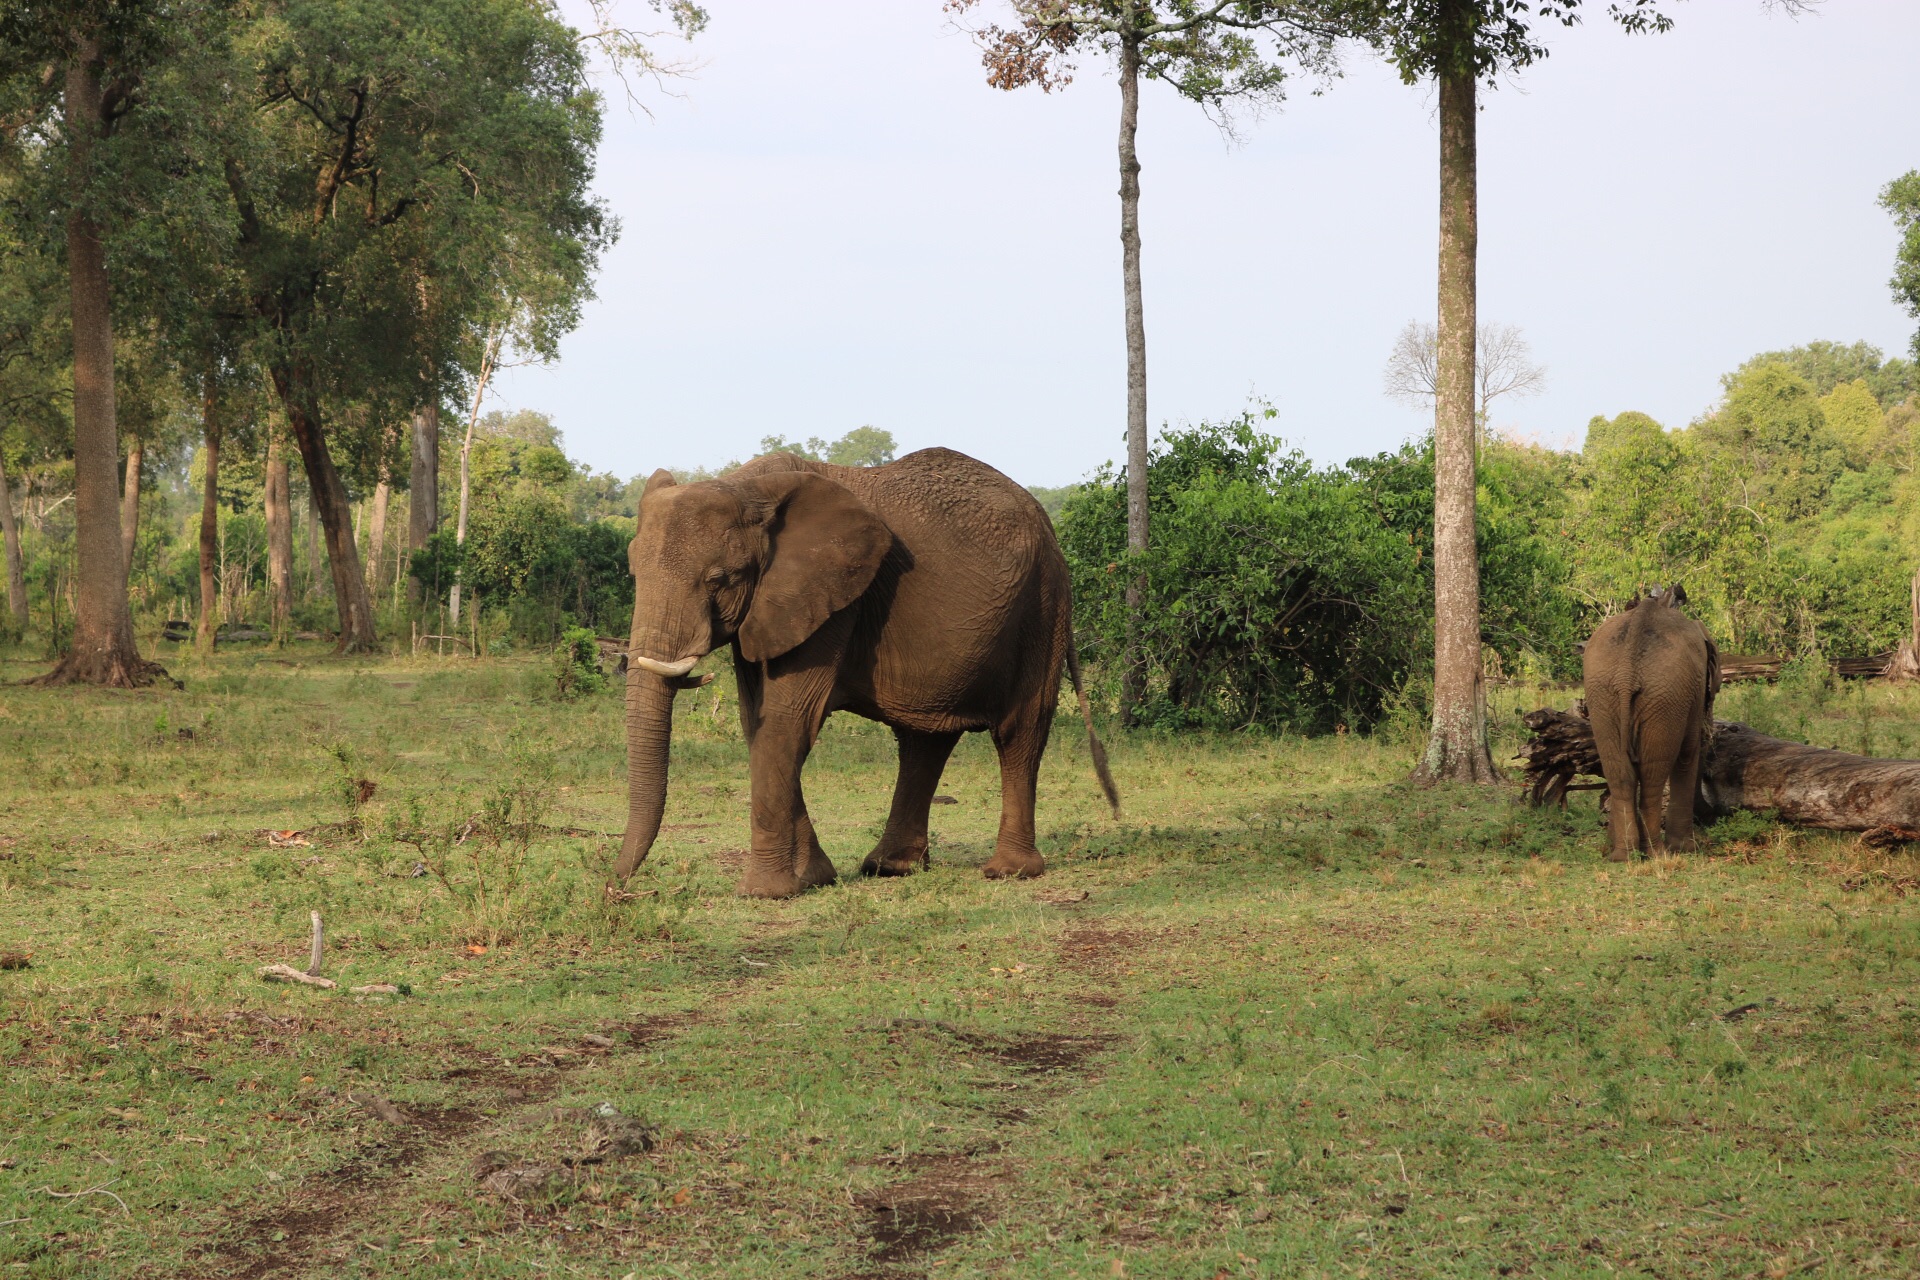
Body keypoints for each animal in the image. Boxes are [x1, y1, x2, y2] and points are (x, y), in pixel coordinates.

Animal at [614, 450, 1121, 901]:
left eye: (719, 580)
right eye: (633, 573)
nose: (616, 885)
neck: (746, 487)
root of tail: (1047, 523)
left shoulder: (834, 601)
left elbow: (787, 723)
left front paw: (764, 893)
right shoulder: (772, 607)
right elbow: (757, 724)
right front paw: (816, 878)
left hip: (1044, 605)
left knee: (1020, 730)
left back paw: (1009, 872)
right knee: (924, 741)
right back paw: (891, 867)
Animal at [1582, 587, 1720, 859]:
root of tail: (1627, 673)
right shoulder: (1692, 693)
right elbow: (1688, 754)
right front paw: (1687, 848)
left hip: (1603, 693)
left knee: (1619, 772)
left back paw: (1623, 855)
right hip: (1665, 696)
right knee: (1653, 773)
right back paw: (1657, 854)